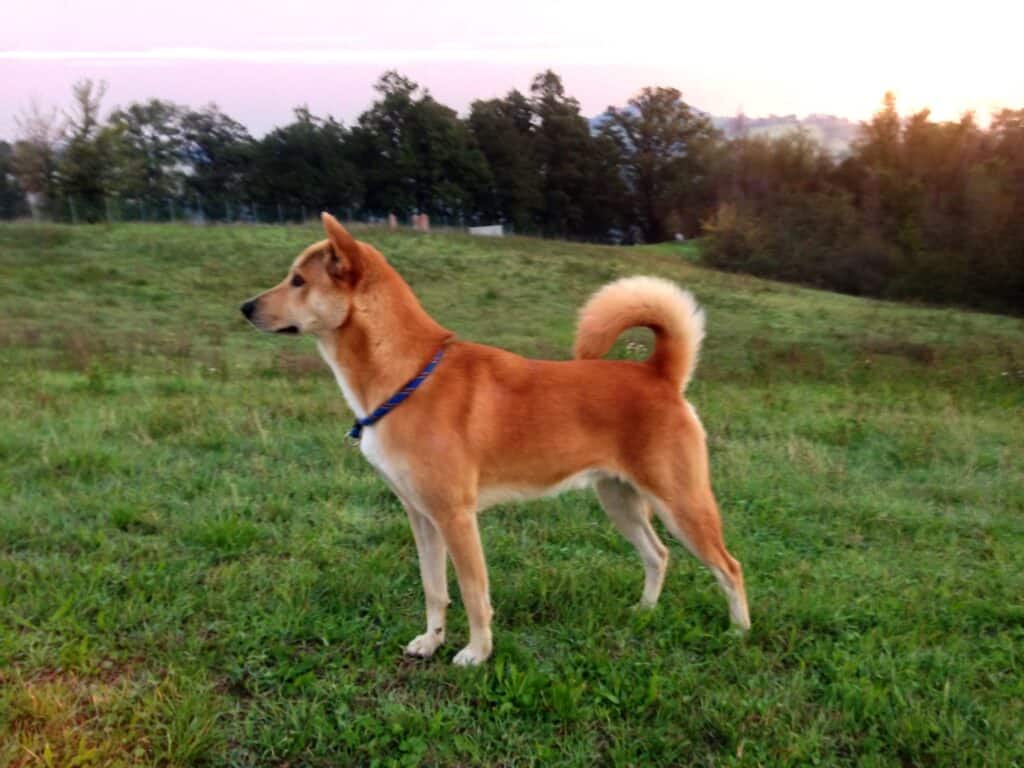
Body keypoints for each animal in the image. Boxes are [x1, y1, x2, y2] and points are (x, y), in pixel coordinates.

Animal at [242, 211, 749, 667]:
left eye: (297, 281)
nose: (245, 307)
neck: (407, 375)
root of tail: (659, 374)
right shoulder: (422, 516)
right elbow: (434, 588)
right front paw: (430, 642)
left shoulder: (456, 517)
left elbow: (472, 592)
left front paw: (476, 653)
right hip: (619, 500)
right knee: (657, 555)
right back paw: (643, 612)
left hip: (681, 502)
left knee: (729, 566)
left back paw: (739, 632)